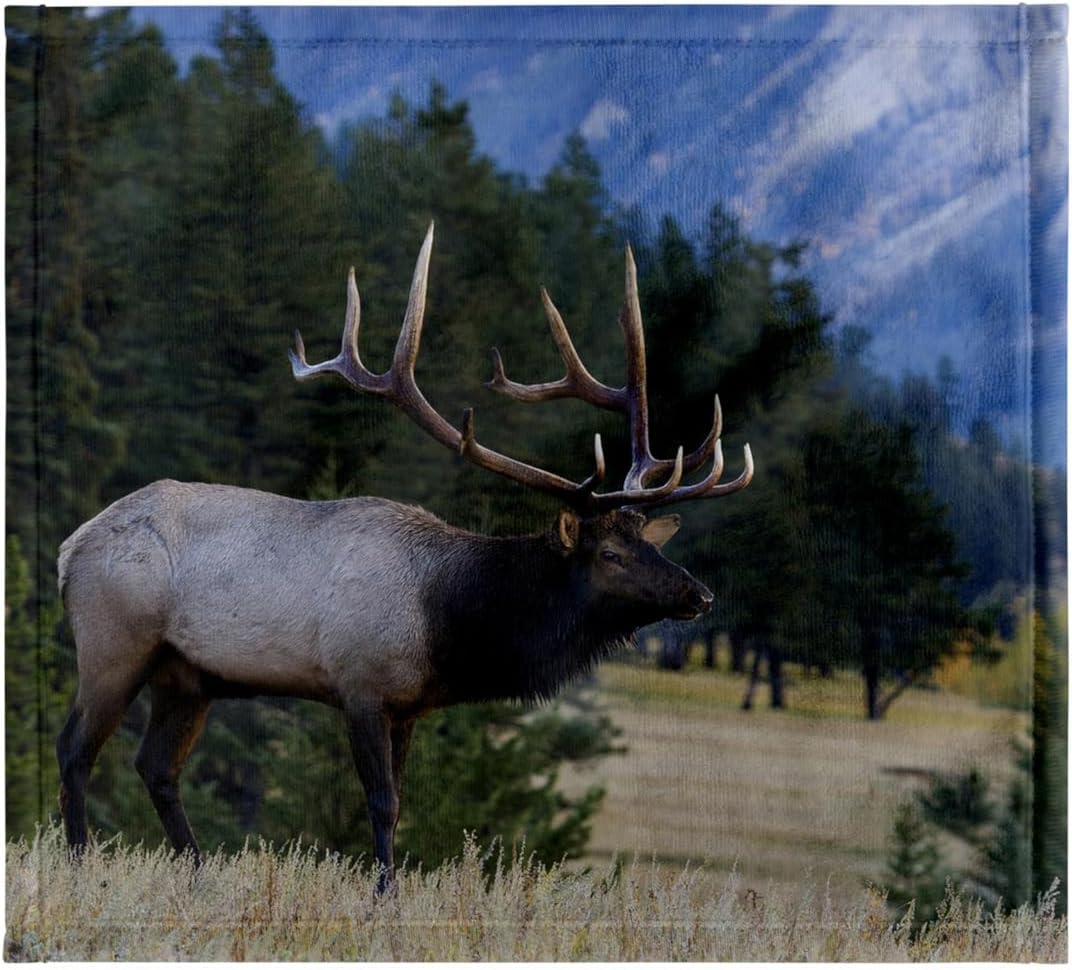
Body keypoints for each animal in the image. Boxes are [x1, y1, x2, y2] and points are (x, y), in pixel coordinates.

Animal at [56, 224, 753, 892]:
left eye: (648, 542)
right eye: (609, 552)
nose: (700, 596)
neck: (448, 621)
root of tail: (70, 546)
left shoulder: (410, 703)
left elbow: (402, 805)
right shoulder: (360, 682)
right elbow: (383, 802)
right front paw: (381, 896)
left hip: (189, 675)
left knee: (156, 766)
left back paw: (199, 876)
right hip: (115, 643)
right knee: (74, 749)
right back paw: (81, 866)